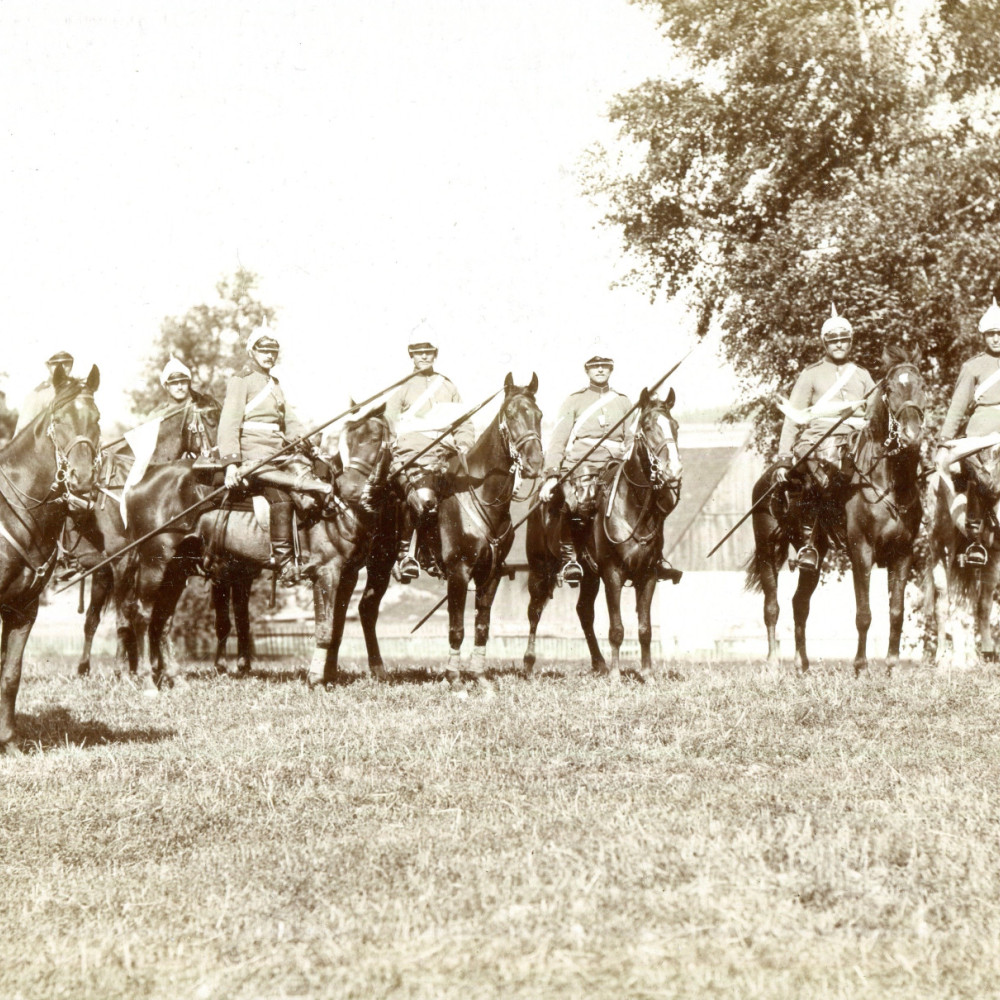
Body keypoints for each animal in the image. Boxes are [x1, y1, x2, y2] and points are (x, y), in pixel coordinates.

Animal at [0, 372, 100, 752]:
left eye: (97, 419)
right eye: (59, 421)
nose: (82, 480)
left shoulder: (23, 608)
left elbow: (10, 674)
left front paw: (9, 742)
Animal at [360, 372, 544, 692]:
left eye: (539, 415)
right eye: (511, 414)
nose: (535, 463)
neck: (482, 496)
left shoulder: (491, 574)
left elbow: (482, 626)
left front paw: (479, 677)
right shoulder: (459, 573)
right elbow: (456, 628)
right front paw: (454, 678)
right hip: (378, 563)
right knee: (366, 608)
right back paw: (377, 670)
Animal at [524, 386, 680, 684]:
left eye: (675, 426)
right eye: (647, 426)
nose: (673, 472)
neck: (633, 506)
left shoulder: (648, 575)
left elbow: (645, 628)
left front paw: (647, 674)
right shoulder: (613, 574)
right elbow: (617, 628)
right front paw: (617, 676)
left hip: (589, 576)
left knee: (584, 612)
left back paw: (599, 664)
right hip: (540, 568)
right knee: (535, 611)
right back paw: (528, 663)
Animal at [748, 348, 924, 676]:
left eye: (922, 386)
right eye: (890, 389)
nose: (911, 435)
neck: (888, 482)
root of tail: (768, 478)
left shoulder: (903, 553)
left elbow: (896, 611)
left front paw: (892, 667)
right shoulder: (861, 552)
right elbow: (864, 613)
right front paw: (861, 667)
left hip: (814, 552)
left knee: (799, 604)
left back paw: (802, 666)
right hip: (769, 549)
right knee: (771, 606)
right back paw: (773, 663)